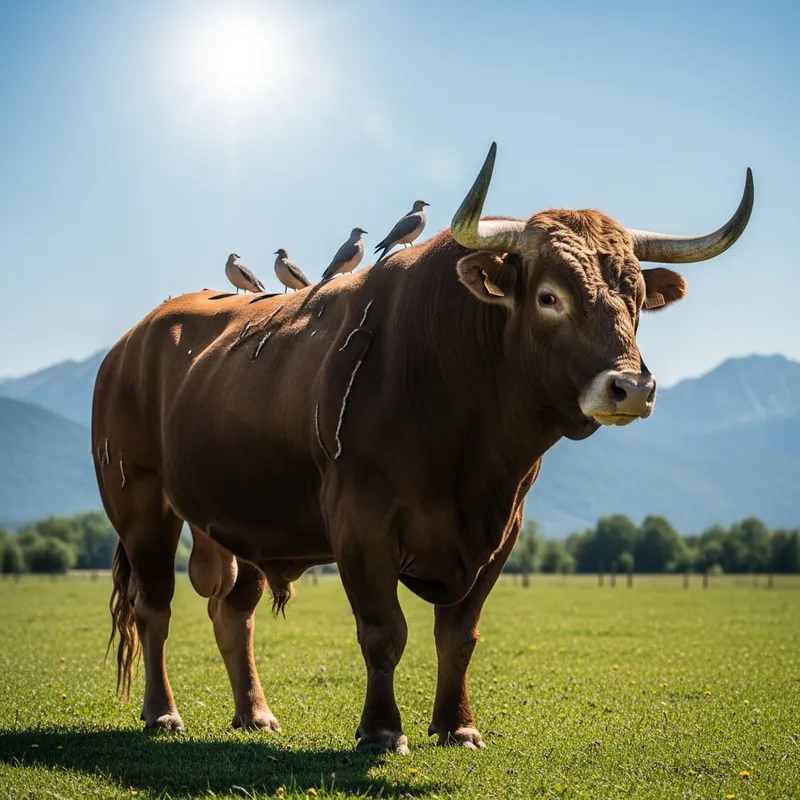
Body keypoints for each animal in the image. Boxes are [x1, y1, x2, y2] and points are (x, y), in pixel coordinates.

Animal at [92, 143, 753, 753]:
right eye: (548, 297)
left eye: (637, 297)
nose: (631, 387)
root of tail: (132, 341)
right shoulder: (361, 524)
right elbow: (383, 631)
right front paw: (382, 731)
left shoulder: (501, 532)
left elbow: (459, 635)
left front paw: (458, 726)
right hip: (141, 507)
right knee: (154, 608)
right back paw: (163, 713)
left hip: (243, 519)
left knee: (233, 613)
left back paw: (254, 713)